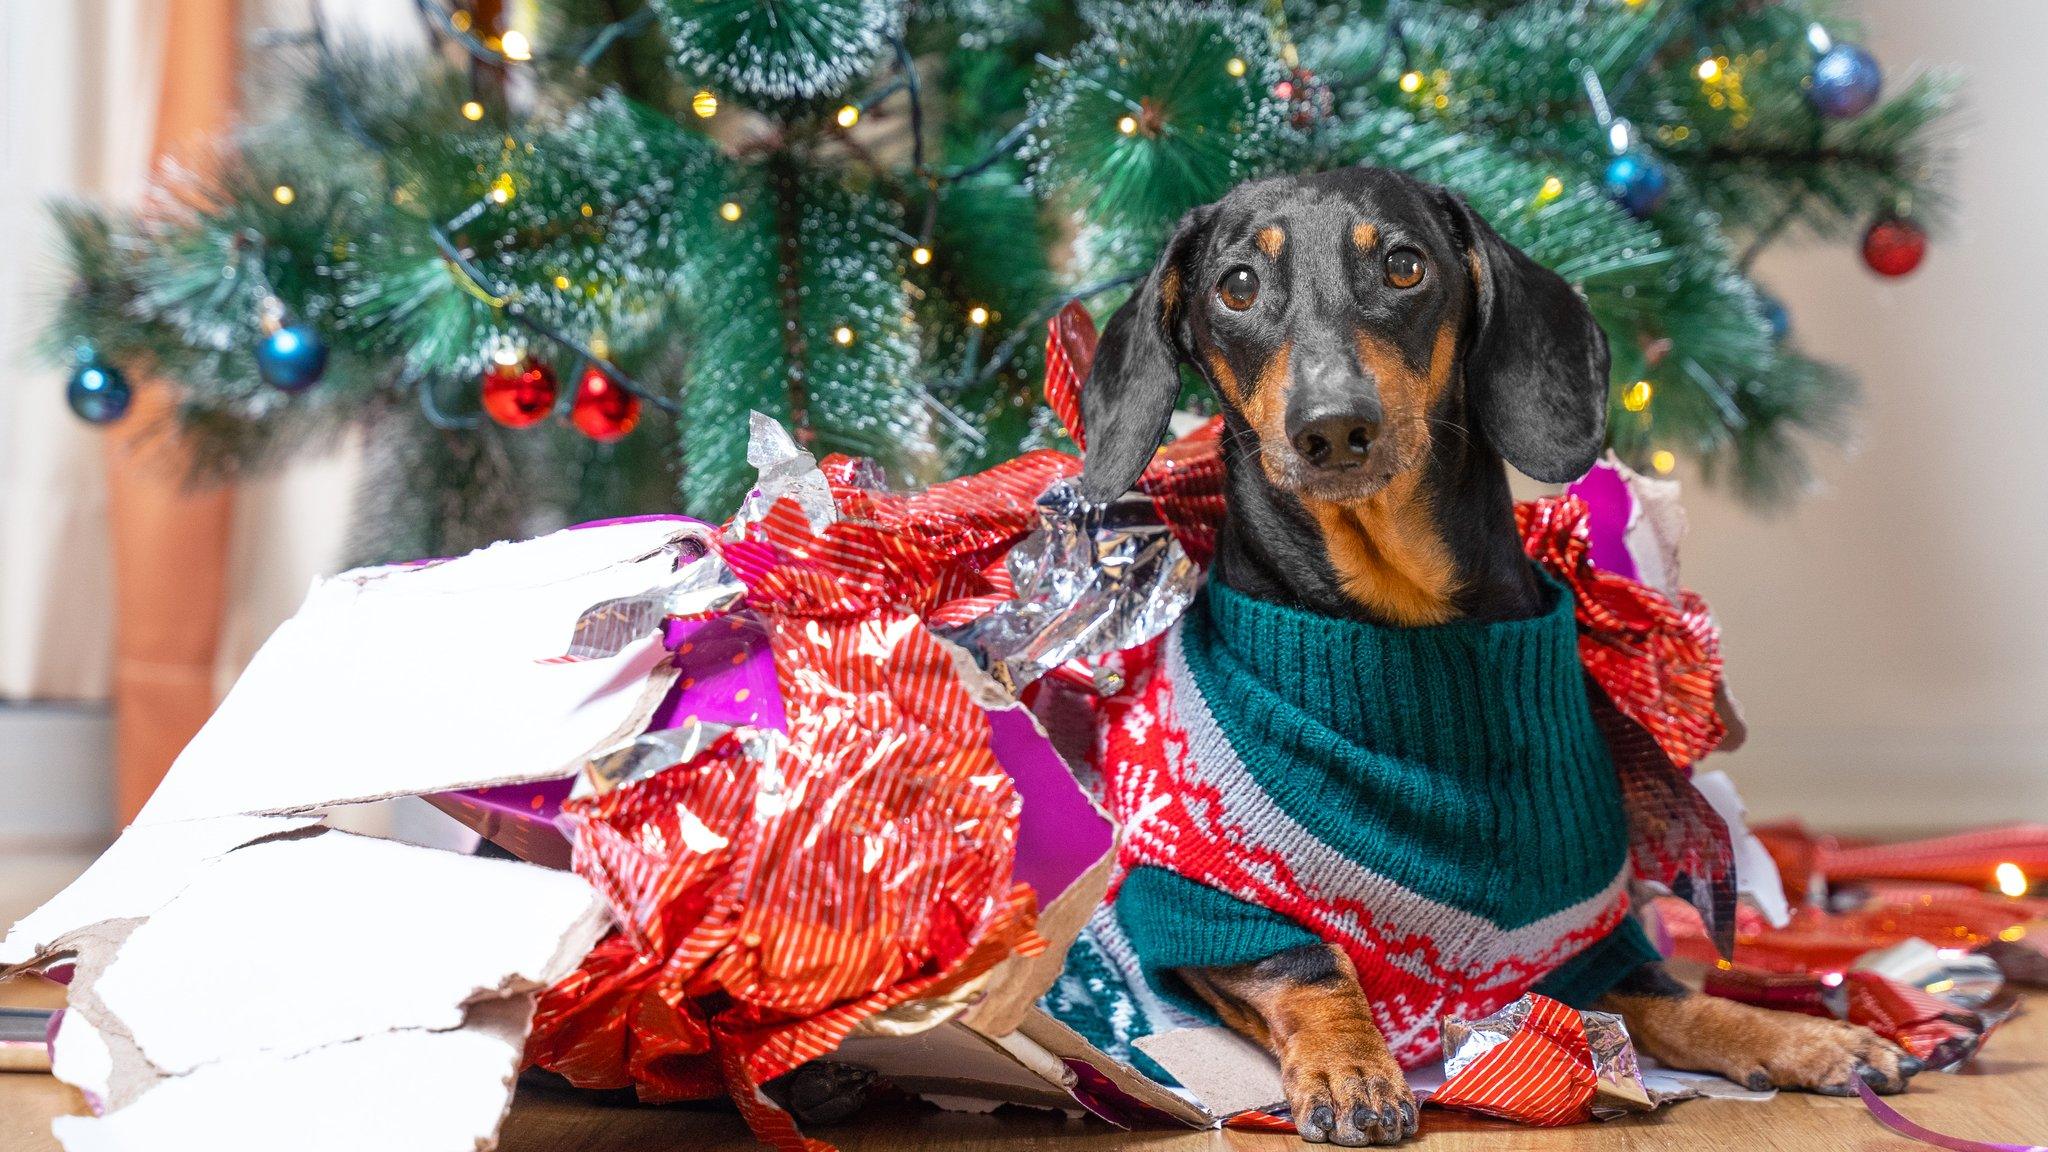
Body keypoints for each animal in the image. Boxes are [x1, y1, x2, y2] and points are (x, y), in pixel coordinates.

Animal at [1073, 163, 1916, 1139]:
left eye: (1404, 266)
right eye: (1236, 285)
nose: (1333, 429)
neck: (1400, 620)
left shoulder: (1577, 936)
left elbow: (1679, 999)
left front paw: (1806, 1038)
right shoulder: (1189, 906)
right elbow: (1312, 964)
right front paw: (1353, 1068)